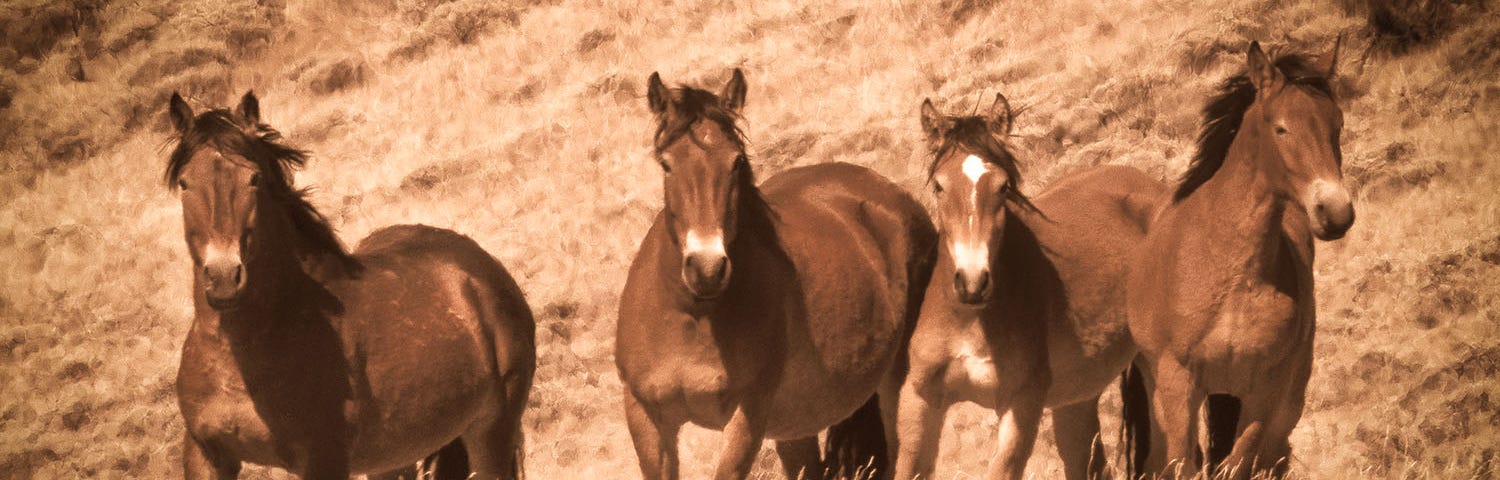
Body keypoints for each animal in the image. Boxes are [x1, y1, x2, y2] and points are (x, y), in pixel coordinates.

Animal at [164, 91, 537, 477]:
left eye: (253, 179)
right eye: (185, 183)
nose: (223, 276)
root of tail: (483, 269)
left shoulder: (324, 460)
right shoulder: (206, 453)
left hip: (490, 434)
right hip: (394, 456)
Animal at [612, 70, 936, 480]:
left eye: (736, 162)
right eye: (666, 164)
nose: (707, 268)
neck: (690, 313)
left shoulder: (747, 417)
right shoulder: (646, 417)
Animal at [888, 94, 1170, 480]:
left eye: (1003, 186)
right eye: (939, 186)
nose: (972, 283)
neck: (971, 319)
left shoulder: (1021, 402)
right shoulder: (919, 397)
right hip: (1077, 398)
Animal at [1122, 39, 1356, 477]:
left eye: (1337, 124)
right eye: (1281, 128)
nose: (1335, 212)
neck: (1231, 273)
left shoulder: (1266, 389)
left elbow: (1238, 462)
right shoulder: (1178, 384)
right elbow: (1183, 464)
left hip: (1283, 402)